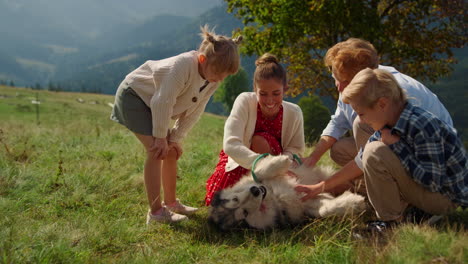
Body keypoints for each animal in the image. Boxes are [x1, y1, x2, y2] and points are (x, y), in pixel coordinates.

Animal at [208, 154, 366, 230]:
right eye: (244, 213)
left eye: (235, 199)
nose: (255, 191)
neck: (274, 197)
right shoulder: (306, 202)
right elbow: (324, 210)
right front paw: (354, 202)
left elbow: (259, 172)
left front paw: (280, 160)